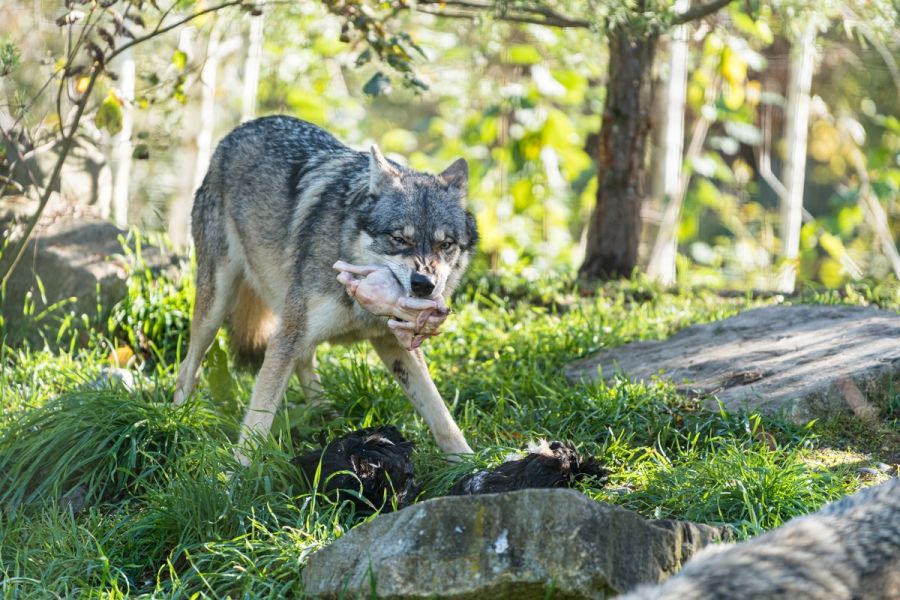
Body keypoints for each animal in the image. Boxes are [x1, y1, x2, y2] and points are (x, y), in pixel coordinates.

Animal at [172, 115, 478, 464]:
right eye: (399, 238)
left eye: (445, 245)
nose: (424, 284)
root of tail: (240, 130)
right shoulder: (284, 338)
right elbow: (258, 421)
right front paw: (238, 472)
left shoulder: (394, 344)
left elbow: (440, 414)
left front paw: (470, 463)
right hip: (216, 309)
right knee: (188, 366)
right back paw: (177, 420)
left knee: (306, 364)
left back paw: (328, 421)